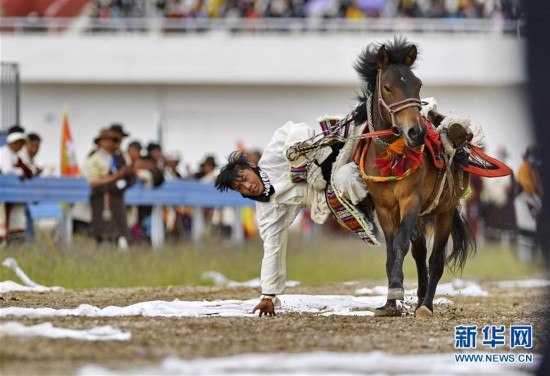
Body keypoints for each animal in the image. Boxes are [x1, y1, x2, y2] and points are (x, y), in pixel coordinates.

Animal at [350, 37, 478, 318]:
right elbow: (391, 251)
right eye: (387, 87)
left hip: (445, 210)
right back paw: (419, 299)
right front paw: (389, 303)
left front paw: (397, 290)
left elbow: (401, 246)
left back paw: (426, 305)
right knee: (420, 253)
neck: (391, 157)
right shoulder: (385, 208)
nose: (416, 132)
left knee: (435, 259)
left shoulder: (410, 200)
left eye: (418, 84)